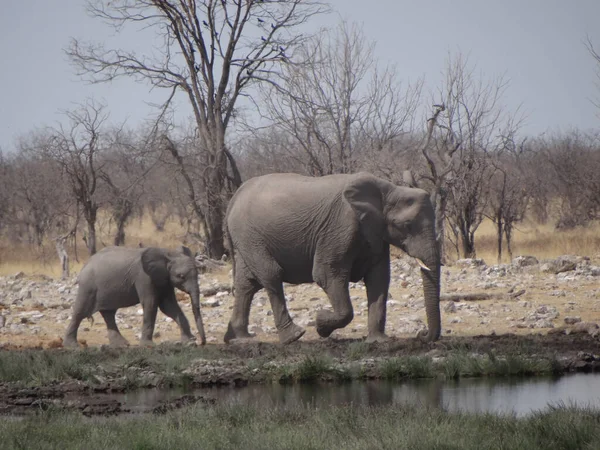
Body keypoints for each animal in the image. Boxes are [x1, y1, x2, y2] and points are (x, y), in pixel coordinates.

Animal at [62, 246, 205, 348]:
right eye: (181, 276)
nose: (201, 342)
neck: (167, 253)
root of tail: (86, 264)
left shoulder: (165, 280)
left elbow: (169, 306)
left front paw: (189, 342)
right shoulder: (144, 277)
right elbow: (151, 304)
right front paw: (148, 345)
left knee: (109, 314)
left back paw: (121, 345)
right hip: (88, 286)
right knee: (80, 312)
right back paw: (72, 346)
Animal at [224, 172, 440, 344]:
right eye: (407, 225)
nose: (422, 334)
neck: (387, 189)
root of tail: (234, 197)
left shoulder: (375, 232)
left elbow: (378, 278)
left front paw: (379, 341)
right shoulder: (340, 227)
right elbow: (327, 274)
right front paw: (321, 323)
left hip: (246, 238)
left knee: (247, 284)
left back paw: (240, 339)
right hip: (250, 235)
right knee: (271, 274)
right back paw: (293, 336)